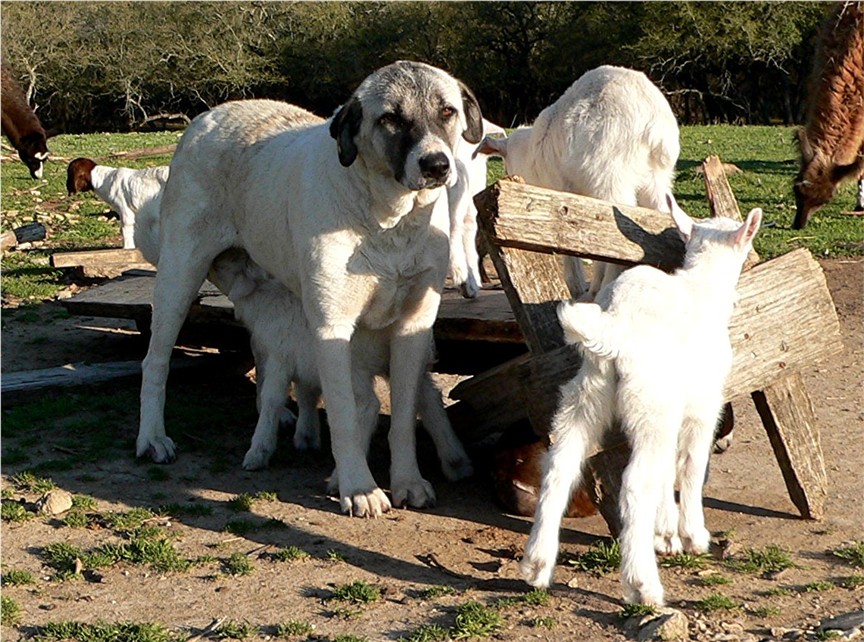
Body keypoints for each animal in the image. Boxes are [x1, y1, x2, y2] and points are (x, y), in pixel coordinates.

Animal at [138, 62, 482, 516]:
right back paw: (152, 437)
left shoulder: (413, 328)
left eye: (447, 111)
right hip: (179, 277)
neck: (388, 222)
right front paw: (358, 487)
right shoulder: (332, 328)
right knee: (156, 362)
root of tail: (211, 115)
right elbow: (344, 414)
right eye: (390, 119)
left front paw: (407, 481)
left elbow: (404, 417)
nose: (437, 165)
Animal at [516, 195, 760, 604]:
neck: (702, 288)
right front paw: (692, 536)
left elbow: (667, 471)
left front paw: (665, 534)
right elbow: (690, 465)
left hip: (585, 397)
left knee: (559, 465)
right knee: (635, 482)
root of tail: (616, 330)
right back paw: (642, 584)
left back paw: (536, 566)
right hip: (651, 400)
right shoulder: (702, 405)